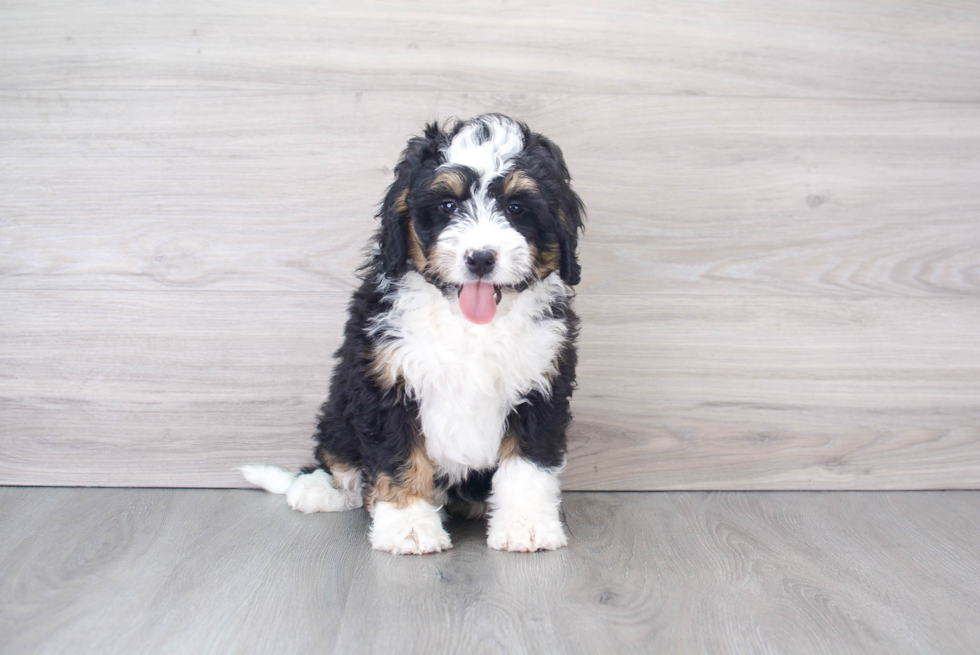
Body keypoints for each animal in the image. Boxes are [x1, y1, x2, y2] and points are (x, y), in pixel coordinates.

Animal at [242, 115, 584, 556]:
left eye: (516, 208)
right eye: (448, 205)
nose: (480, 258)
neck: (468, 322)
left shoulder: (542, 381)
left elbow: (529, 461)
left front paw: (526, 525)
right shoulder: (384, 380)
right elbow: (399, 458)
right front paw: (408, 526)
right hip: (340, 404)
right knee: (336, 454)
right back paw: (319, 489)